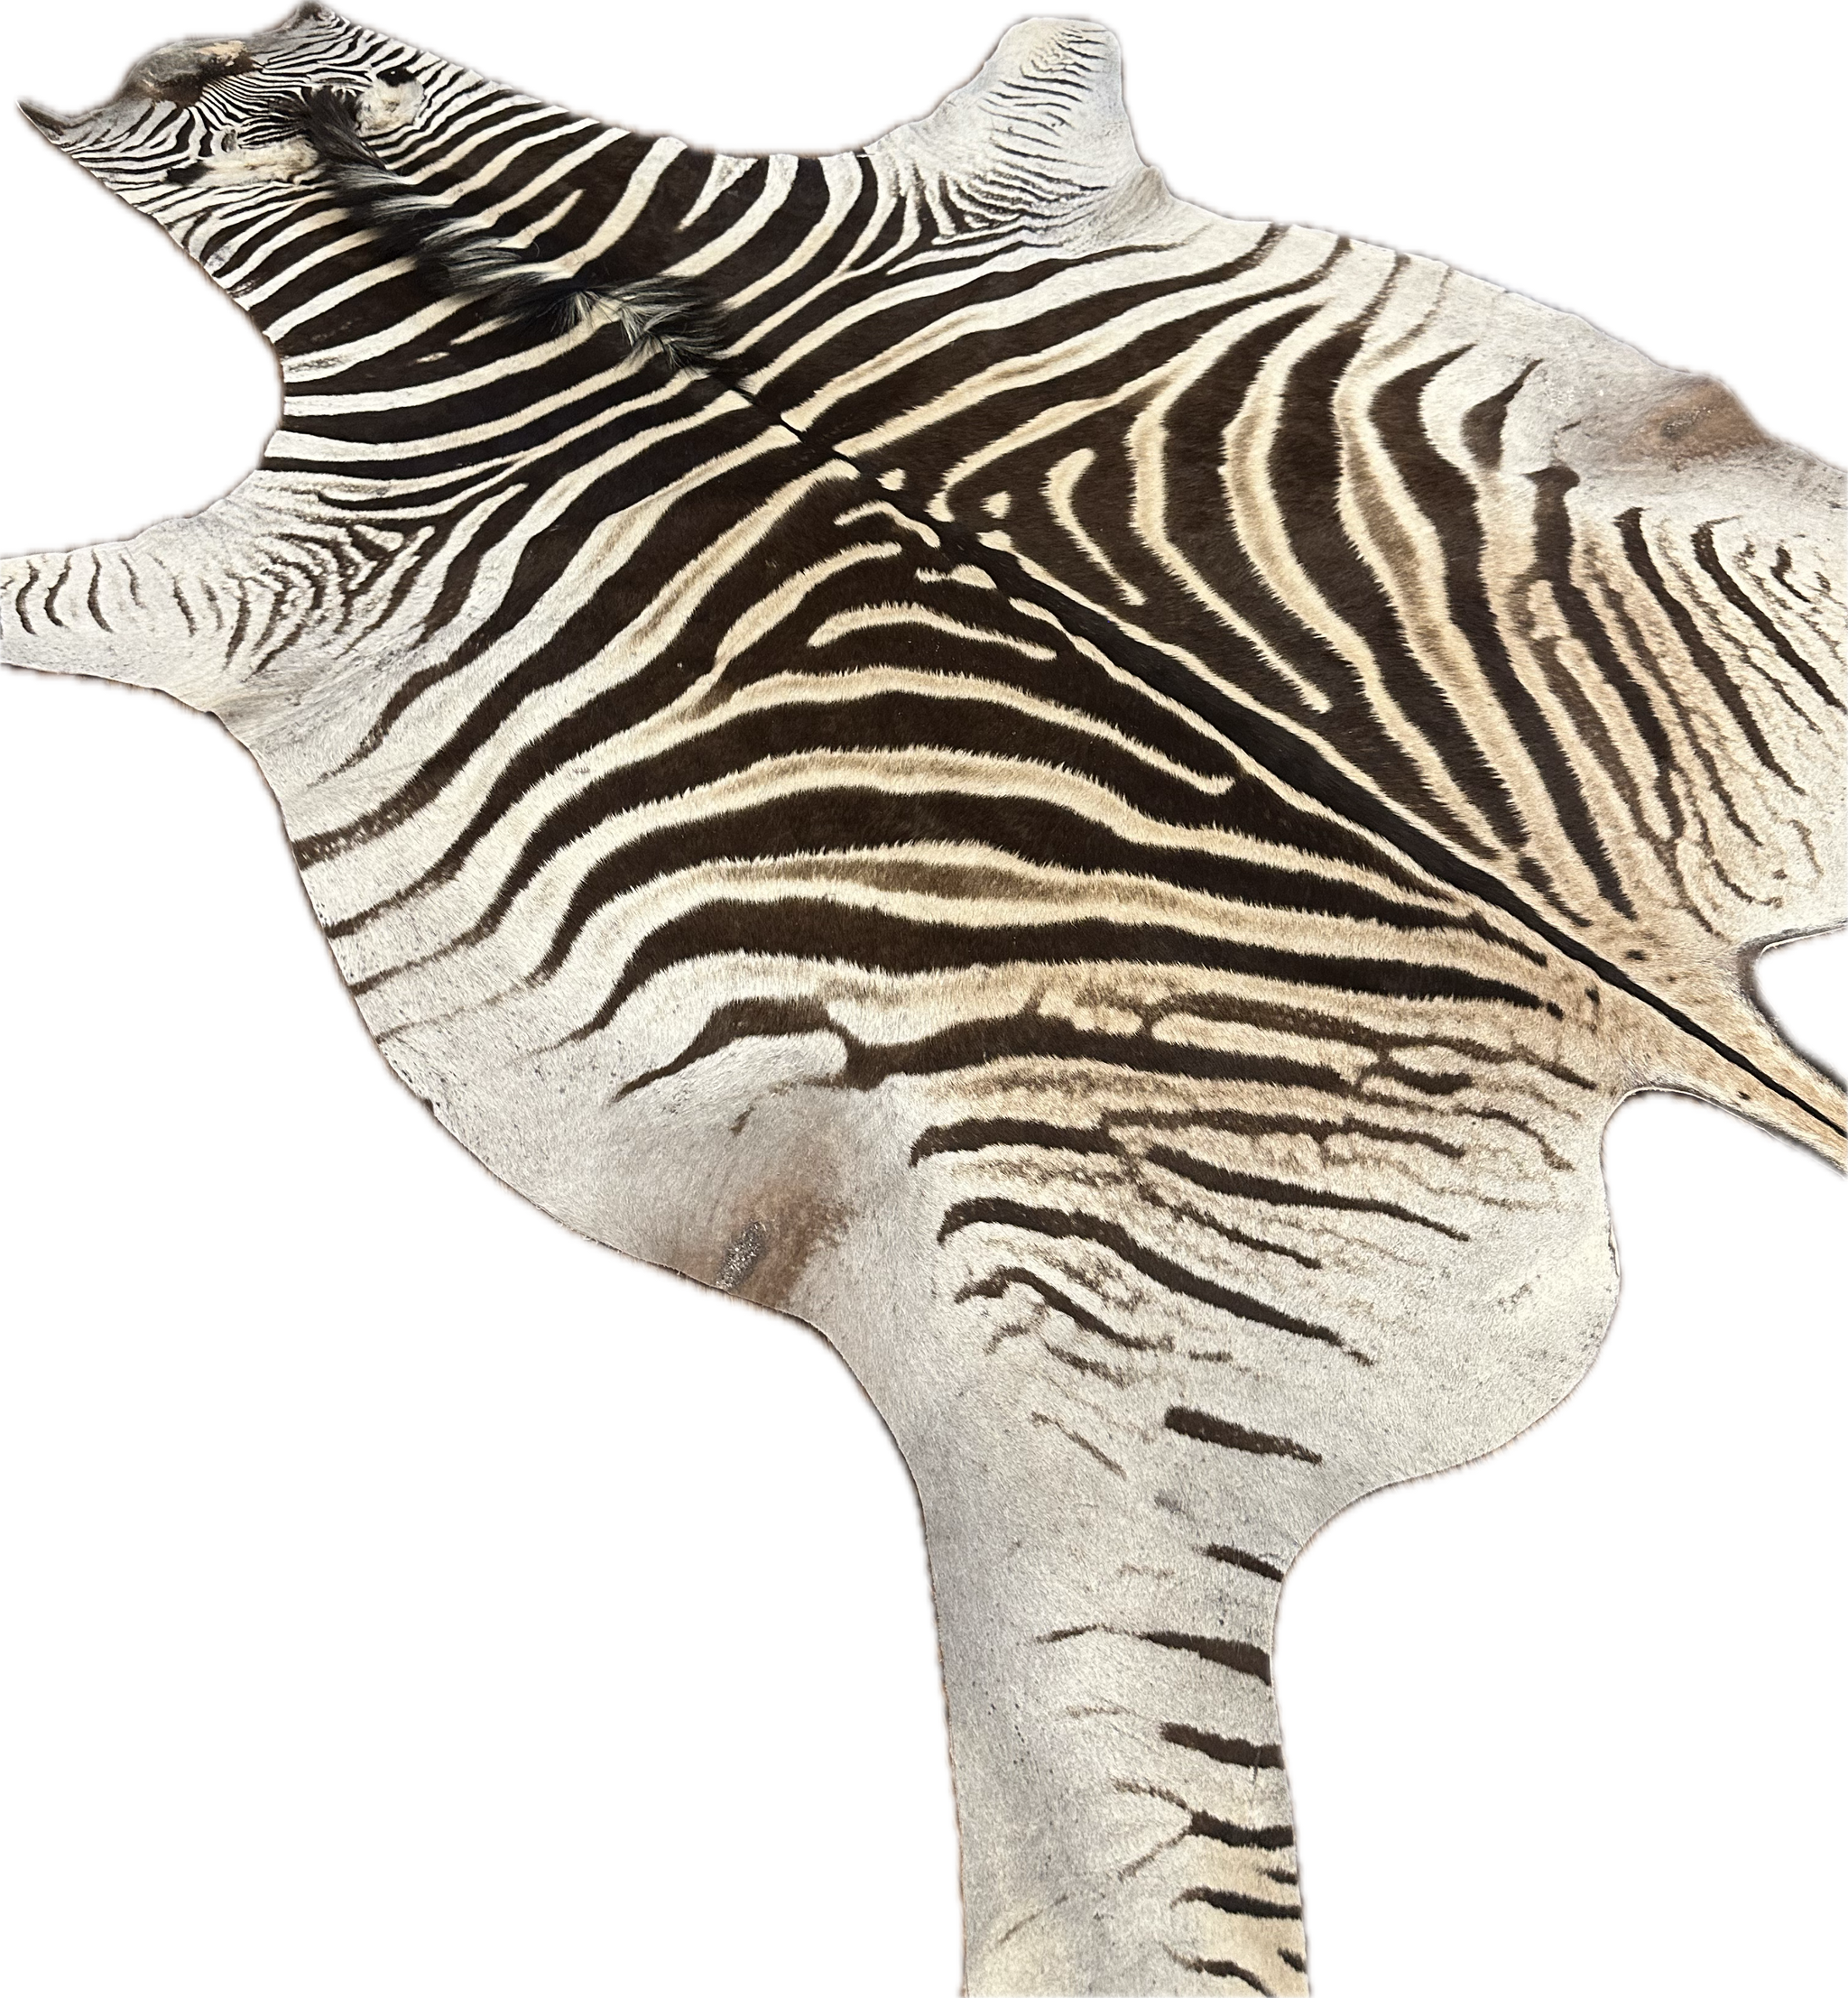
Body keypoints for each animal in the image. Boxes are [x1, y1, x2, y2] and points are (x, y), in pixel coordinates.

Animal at [3, 7, 1843, 1993]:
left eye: (206, 103)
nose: (196, 36)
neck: (488, 266)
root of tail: (1629, 981)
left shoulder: (253, 581)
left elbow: (62, 596)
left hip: (1056, 1412)